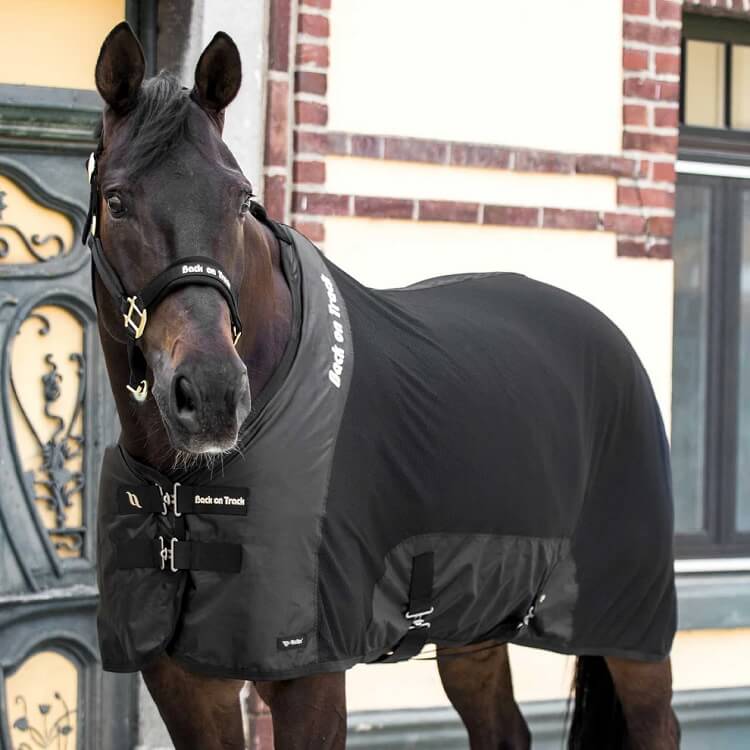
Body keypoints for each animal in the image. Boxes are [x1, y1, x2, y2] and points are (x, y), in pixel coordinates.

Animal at [88, 22, 680, 750]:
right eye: (117, 200)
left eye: (237, 197)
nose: (214, 395)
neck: (182, 486)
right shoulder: (181, 683)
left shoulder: (309, 679)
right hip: (476, 624)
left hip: (630, 626)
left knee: (657, 724)